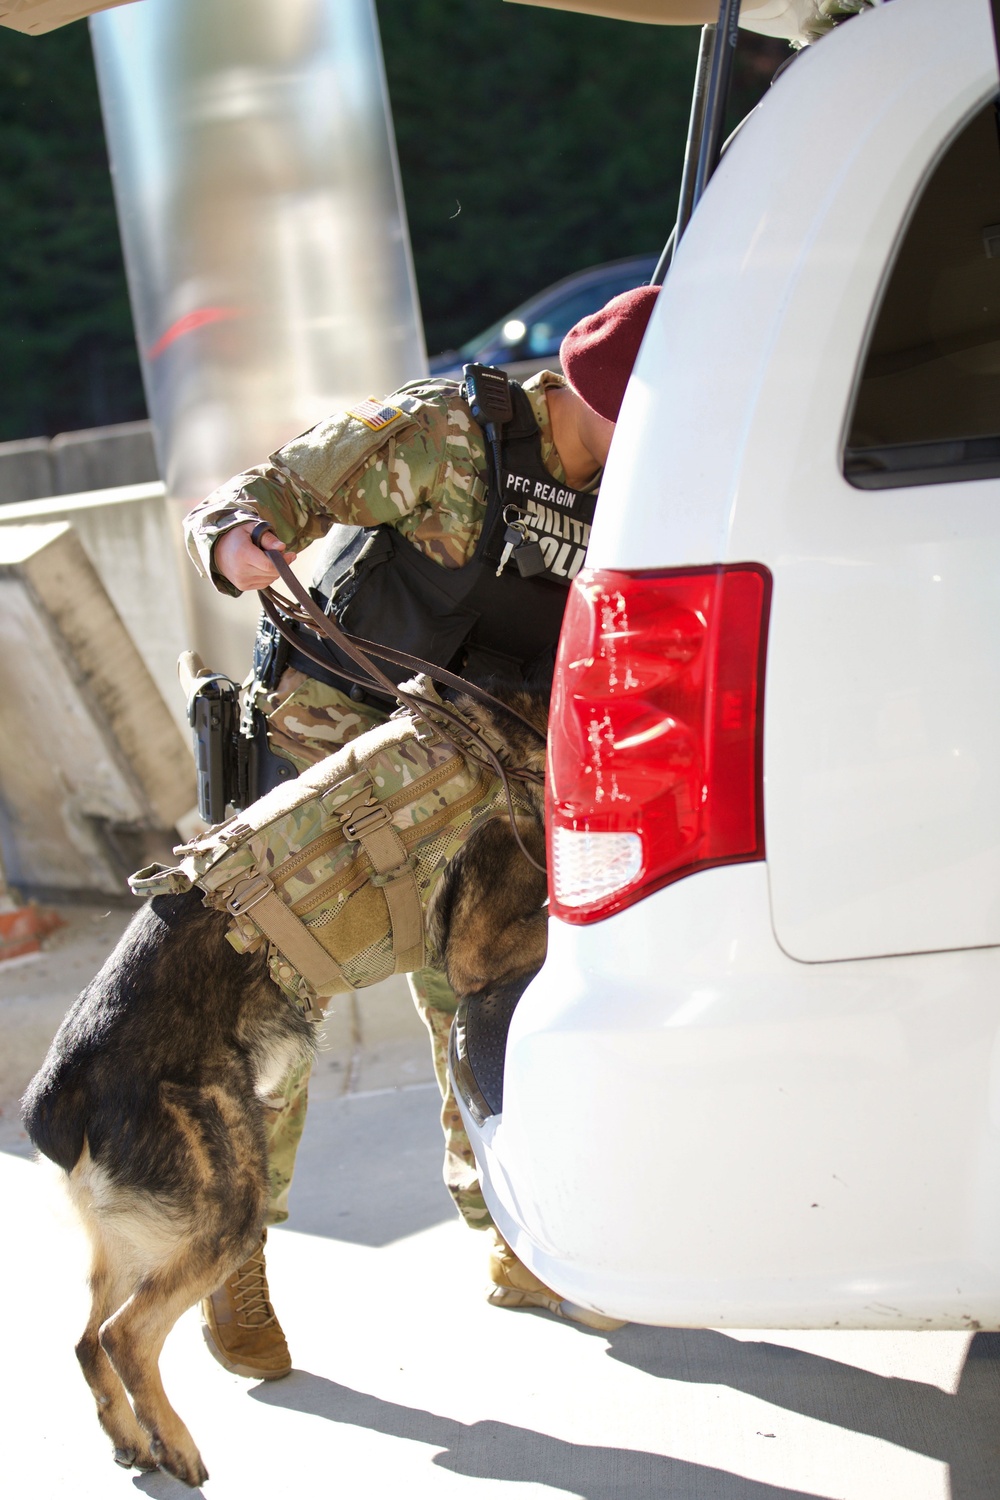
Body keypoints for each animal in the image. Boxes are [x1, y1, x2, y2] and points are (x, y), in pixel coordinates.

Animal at [17, 687, 548, 1482]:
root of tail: (62, 1084)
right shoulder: (476, 954)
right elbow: (544, 924)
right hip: (226, 1201)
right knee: (123, 1334)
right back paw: (176, 1442)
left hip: (133, 1237)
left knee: (85, 1339)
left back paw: (132, 1437)